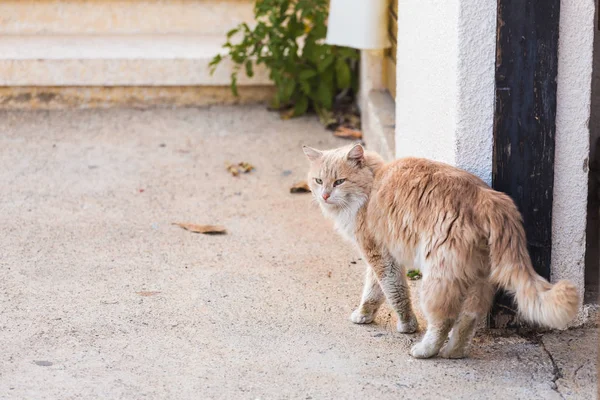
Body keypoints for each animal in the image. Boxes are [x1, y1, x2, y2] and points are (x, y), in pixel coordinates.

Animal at [302, 144, 580, 360]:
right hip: (478, 278)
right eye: (318, 181)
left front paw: (407, 325)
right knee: (469, 317)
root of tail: (486, 196)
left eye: (339, 181)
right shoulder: (383, 257)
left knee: (443, 321)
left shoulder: (380, 257)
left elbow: (395, 293)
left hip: (437, 278)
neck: (372, 184)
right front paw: (364, 314)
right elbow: (374, 292)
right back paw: (454, 353)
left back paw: (425, 350)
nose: (325, 195)